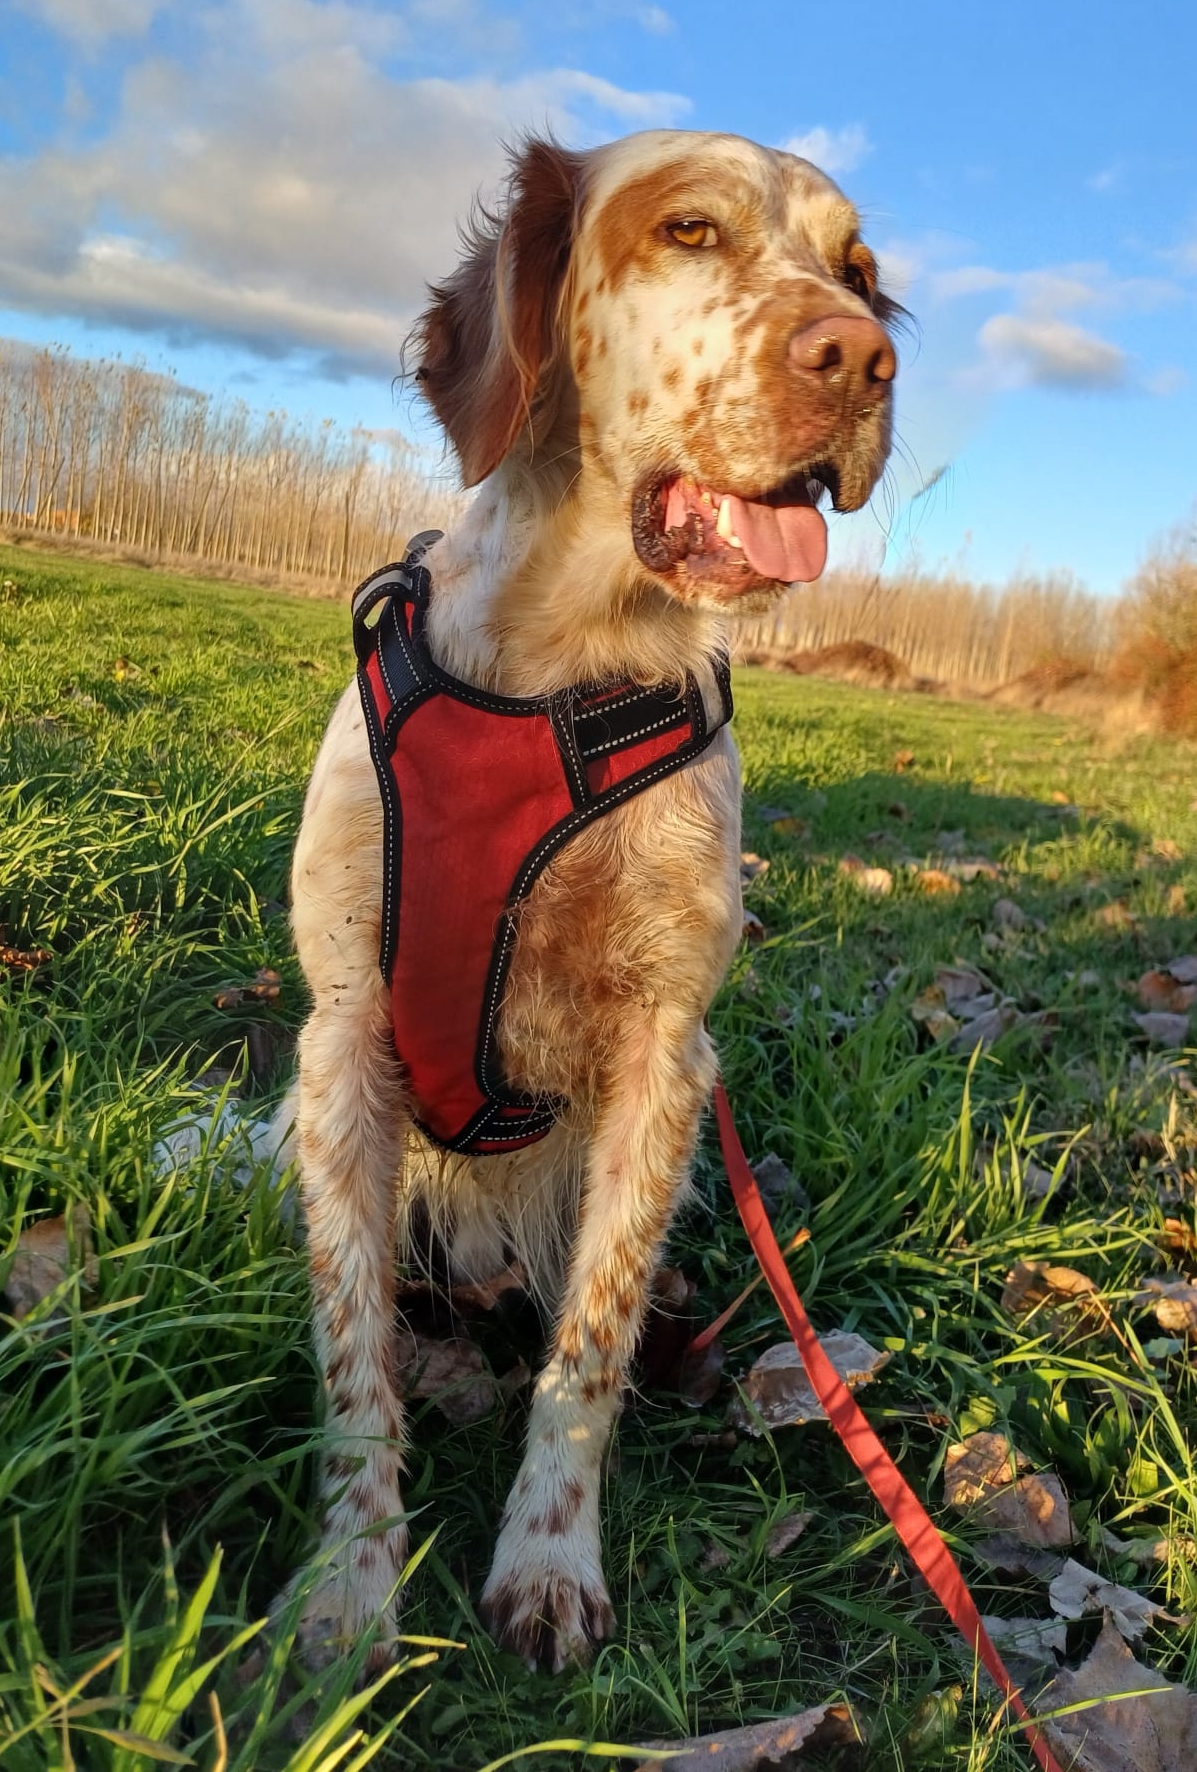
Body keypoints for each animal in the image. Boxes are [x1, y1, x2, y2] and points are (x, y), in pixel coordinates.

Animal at [283, 128, 898, 1673]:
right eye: (689, 231)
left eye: (859, 272)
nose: (862, 359)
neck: (563, 665)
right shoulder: (340, 1040)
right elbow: (351, 1354)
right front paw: (350, 1584)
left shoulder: (665, 1056)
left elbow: (591, 1346)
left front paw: (549, 1561)